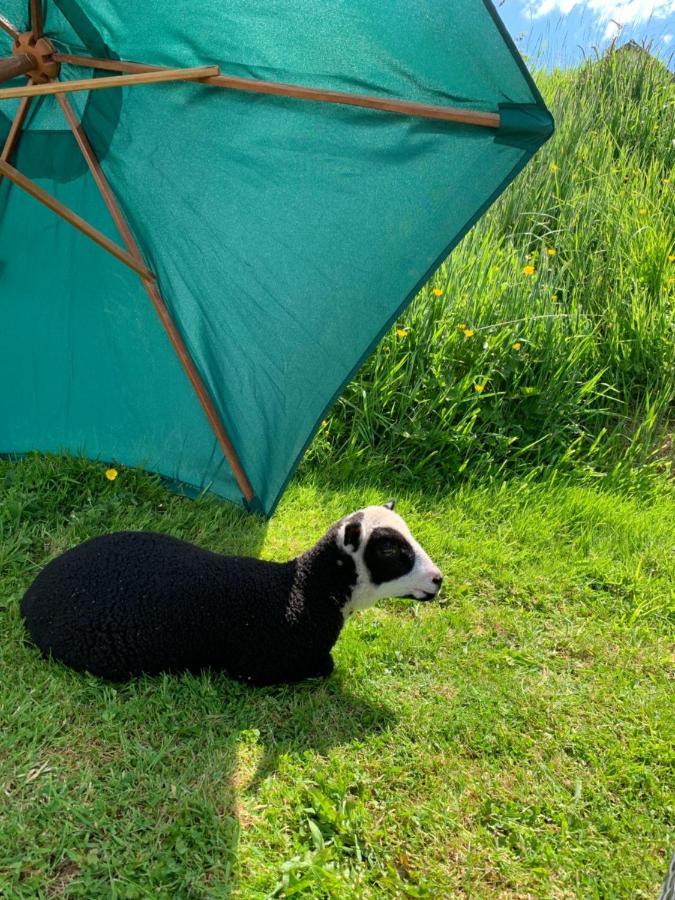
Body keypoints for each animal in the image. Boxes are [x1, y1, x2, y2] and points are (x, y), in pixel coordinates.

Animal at [21, 502, 440, 684]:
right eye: (390, 550)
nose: (438, 579)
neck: (305, 590)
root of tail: (30, 600)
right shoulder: (260, 668)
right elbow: (325, 667)